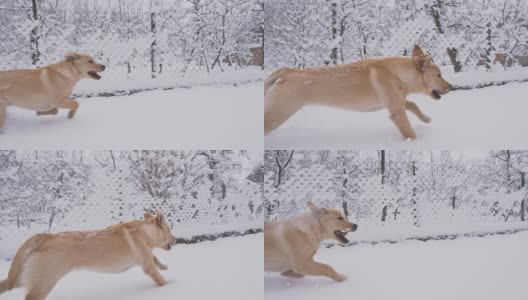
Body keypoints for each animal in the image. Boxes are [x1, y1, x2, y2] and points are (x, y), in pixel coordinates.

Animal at [0, 211, 177, 300]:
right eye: (170, 231)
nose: (176, 239)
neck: (145, 232)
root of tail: (45, 237)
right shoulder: (147, 266)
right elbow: (160, 278)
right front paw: (169, 285)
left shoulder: (146, 257)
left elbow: (155, 258)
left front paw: (164, 266)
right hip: (43, 285)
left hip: (23, 280)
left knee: (5, 284)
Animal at [264, 44, 450, 139]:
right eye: (439, 75)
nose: (452, 87)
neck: (397, 73)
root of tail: (287, 71)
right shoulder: (396, 111)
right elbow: (409, 130)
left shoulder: (397, 101)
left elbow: (413, 105)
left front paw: (425, 118)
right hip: (278, 113)